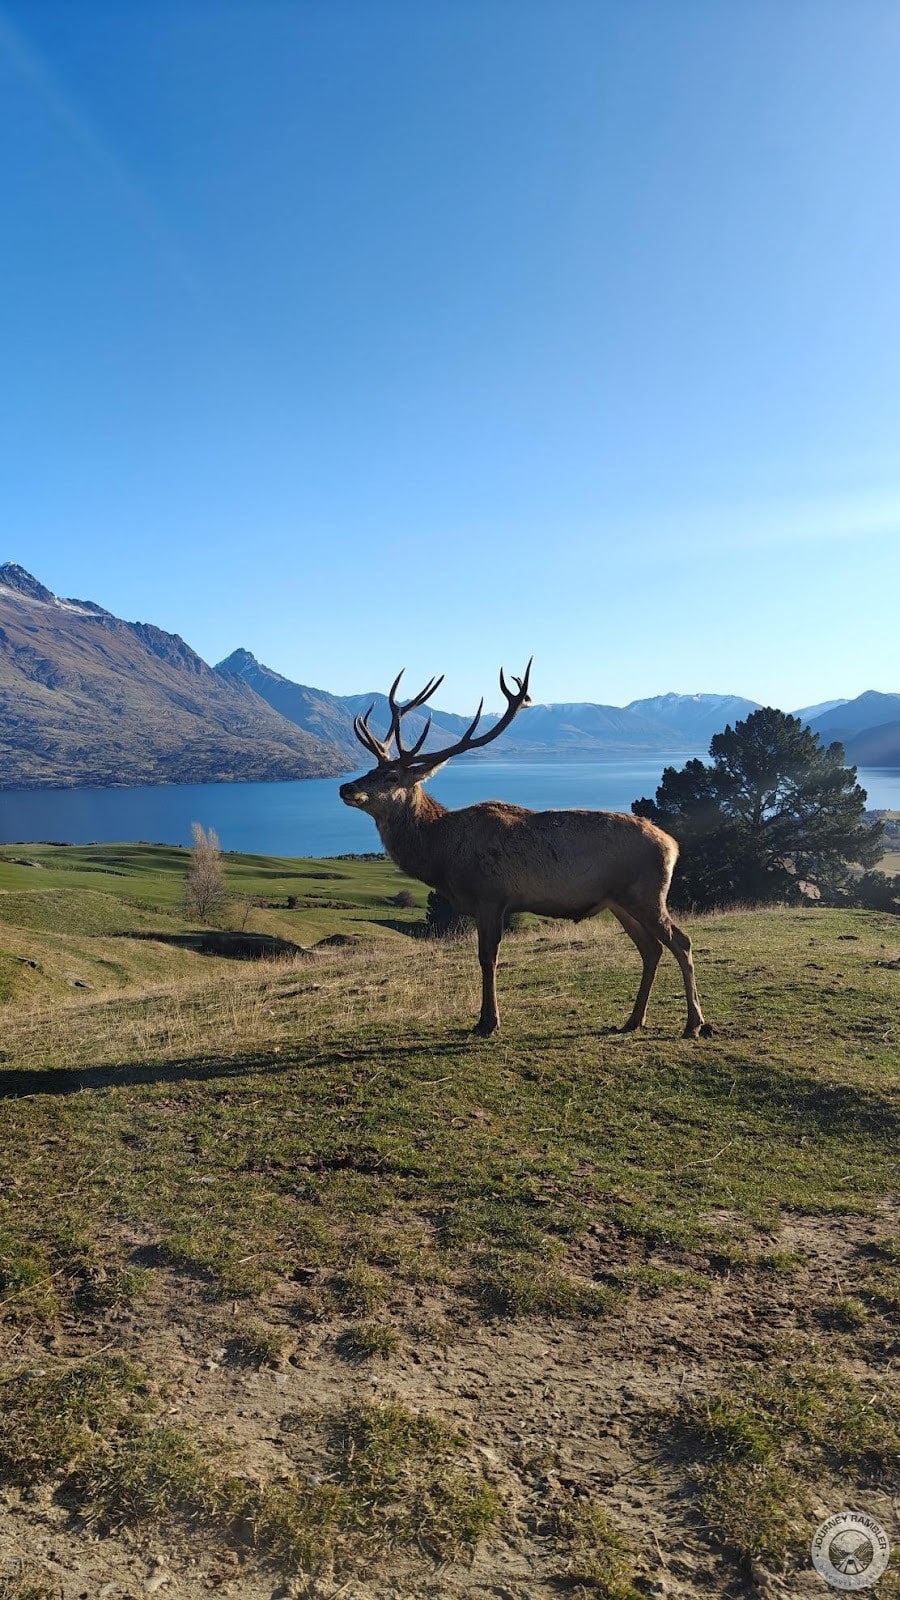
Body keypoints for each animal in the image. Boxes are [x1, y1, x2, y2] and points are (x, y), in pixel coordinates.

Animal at [339, 662, 712, 1040]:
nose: (346, 787)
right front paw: (484, 1019)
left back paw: (694, 1023)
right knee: (651, 949)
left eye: (391, 777)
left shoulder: (491, 896)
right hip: (620, 901)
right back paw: (633, 1020)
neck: (443, 856)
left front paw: (489, 1021)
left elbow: (487, 957)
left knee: (681, 942)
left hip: (647, 894)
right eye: (371, 769)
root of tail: (672, 844)